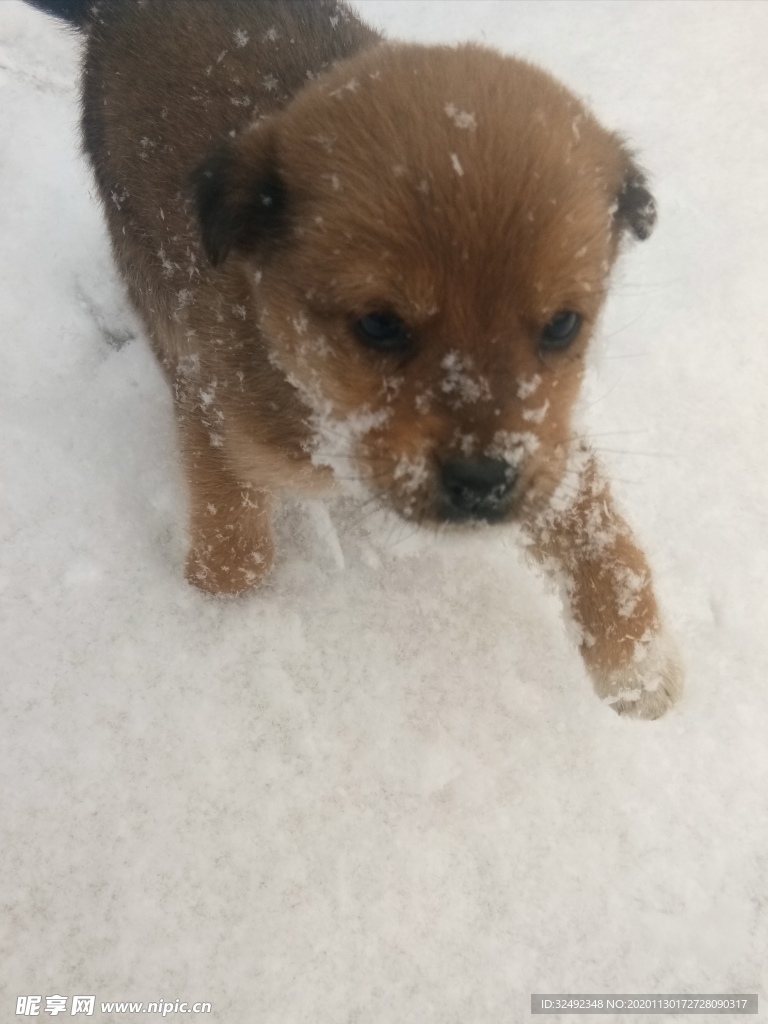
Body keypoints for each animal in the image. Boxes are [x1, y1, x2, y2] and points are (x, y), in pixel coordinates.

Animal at [30, 0, 684, 720]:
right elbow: (234, 560)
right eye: (379, 326)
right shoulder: (211, 410)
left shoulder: (548, 439)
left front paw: (636, 663)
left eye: (564, 324)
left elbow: (596, 525)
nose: (485, 483)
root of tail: (116, 10)